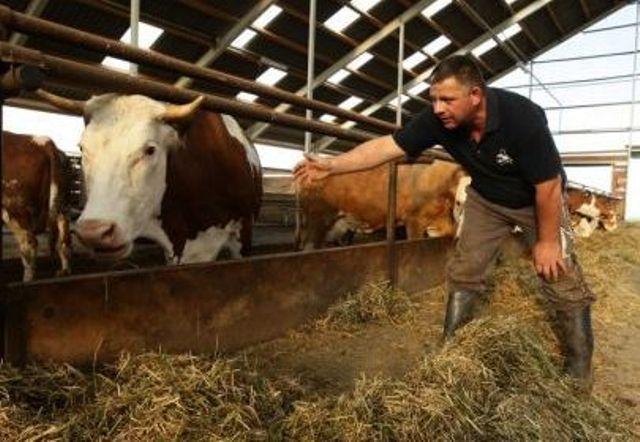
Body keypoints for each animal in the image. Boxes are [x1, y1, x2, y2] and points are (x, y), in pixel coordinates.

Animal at [2, 131, 72, 281]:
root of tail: (44, 142)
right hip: (62, 204)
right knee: (64, 237)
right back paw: (64, 271)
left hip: (15, 210)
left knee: (30, 243)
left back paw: (27, 280)